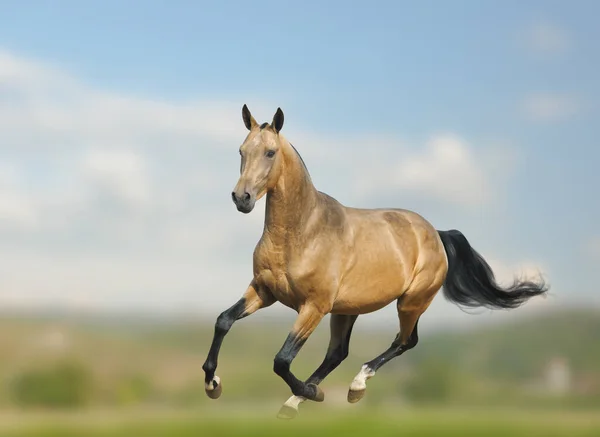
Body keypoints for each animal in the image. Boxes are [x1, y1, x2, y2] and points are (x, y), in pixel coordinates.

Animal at [202, 104, 548, 418]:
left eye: (270, 152)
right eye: (241, 150)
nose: (242, 198)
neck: (301, 233)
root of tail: (436, 234)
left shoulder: (314, 306)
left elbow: (282, 359)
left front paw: (312, 392)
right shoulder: (264, 291)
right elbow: (224, 321)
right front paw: (212, 383)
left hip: (410, 302)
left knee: (405, 341)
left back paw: (351, 387)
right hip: (348, 310)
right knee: (339, 353)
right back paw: (298, 401)